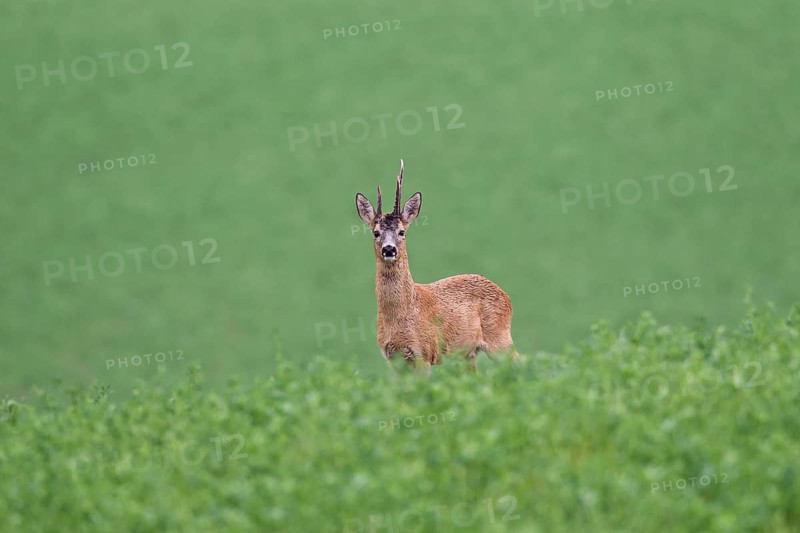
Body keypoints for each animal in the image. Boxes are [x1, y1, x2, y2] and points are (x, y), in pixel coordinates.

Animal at [355, 159, 518, 373]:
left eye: (402, 232)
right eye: (375, 233)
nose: (389, 249)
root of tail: (505, 295)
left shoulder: (424, 353)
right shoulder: (392, 359)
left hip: (499, 339)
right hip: (468, 354)